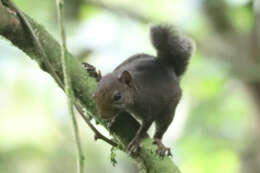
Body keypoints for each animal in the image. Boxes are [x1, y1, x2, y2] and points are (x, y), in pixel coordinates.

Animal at [93, 24, 195, 157]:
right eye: (94, 95)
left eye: (117, 96)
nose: (103, 115)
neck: (136, 90)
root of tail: (167, 65)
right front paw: (114, 118)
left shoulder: (150, 108)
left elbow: (144, 127)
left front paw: (136, 142)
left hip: (169, 111)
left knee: (161, 129)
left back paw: (159, 143)